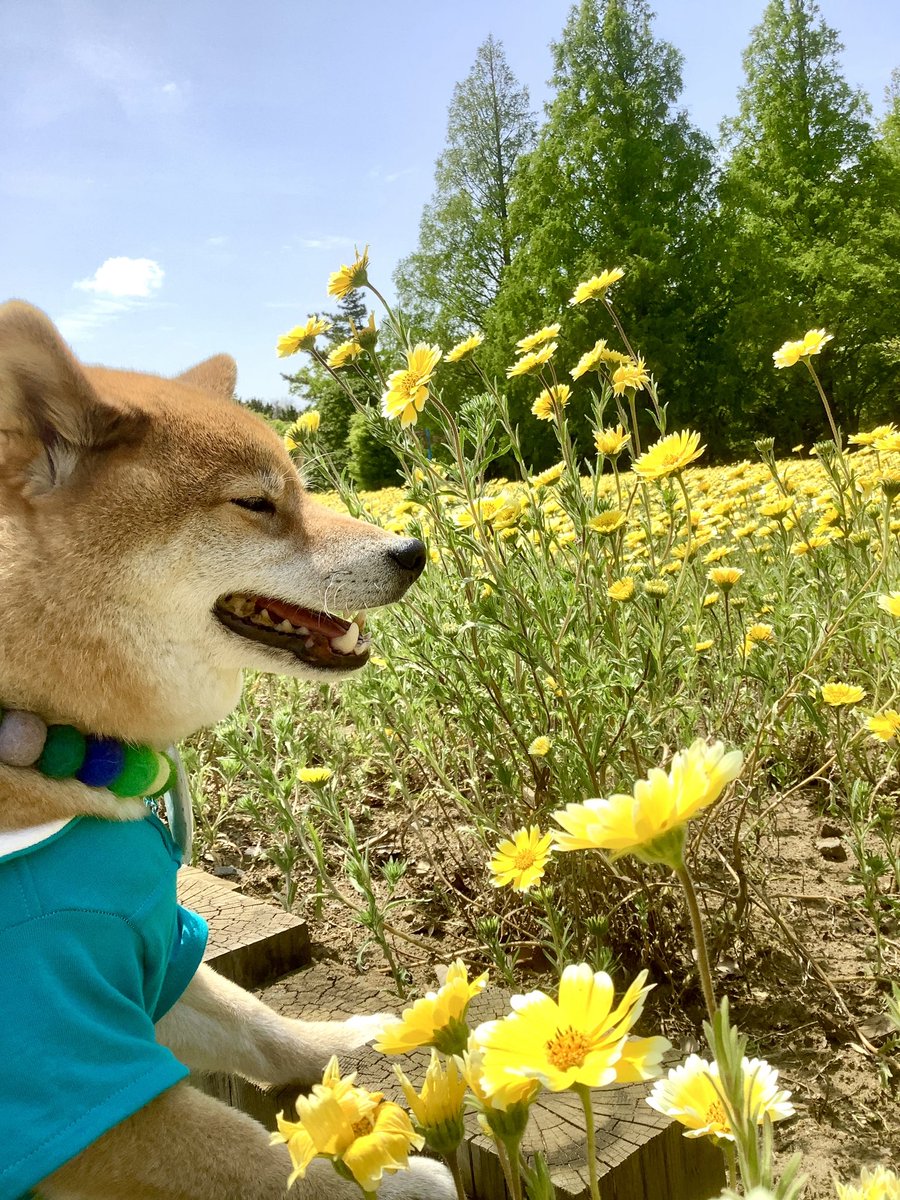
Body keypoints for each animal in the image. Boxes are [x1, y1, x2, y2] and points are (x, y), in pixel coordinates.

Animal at [0, 304, 453, 1200]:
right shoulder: (73, 1076)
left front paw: (349, 1039)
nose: (414, 551)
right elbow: (266, 1169)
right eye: (255, 503)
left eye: (302, 487)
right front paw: (396, 1183)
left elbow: (257, 1024)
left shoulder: (145, 943)